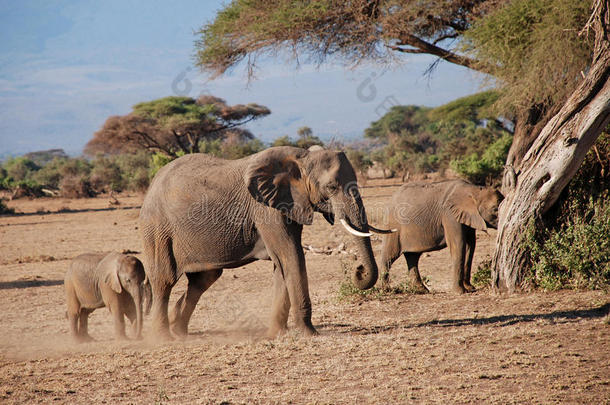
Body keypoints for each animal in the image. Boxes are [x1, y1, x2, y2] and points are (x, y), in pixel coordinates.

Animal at [138, 145, 390, 338]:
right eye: (332, 187)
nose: (358, 269)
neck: (301, 158)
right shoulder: (265, 209)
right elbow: (291, 256)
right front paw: (310, 334)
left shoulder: (289, 204)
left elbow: (282, 263)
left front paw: (277, 334)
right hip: (157, 228)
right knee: (164, 280)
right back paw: (163, 338)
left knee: (203, 279)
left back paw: (178, 330)